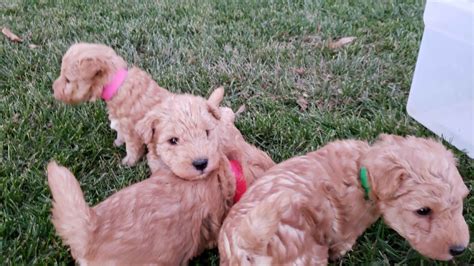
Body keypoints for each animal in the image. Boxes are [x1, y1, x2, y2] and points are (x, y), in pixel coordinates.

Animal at [219, 134, 470, 264]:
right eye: (423, 210)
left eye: (461, 200)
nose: (460, 250)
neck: (361, 169)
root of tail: (249, 244)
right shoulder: (348, 230)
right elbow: (343, 242)